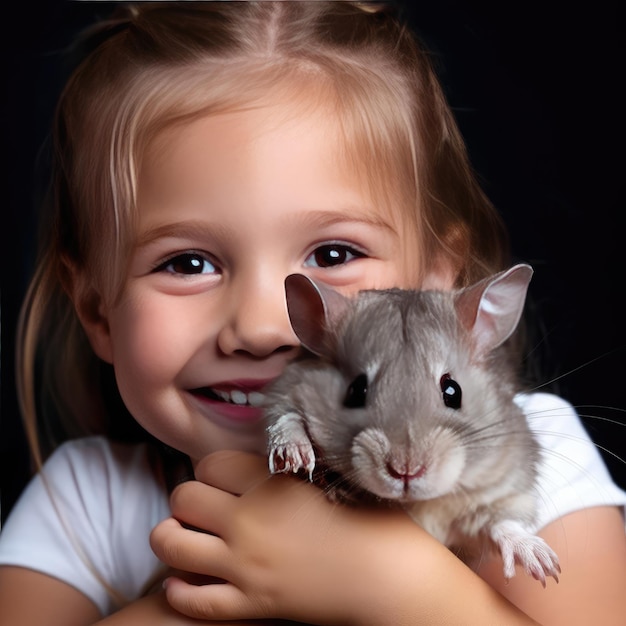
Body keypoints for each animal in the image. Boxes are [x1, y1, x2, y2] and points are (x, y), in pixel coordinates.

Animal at [264, 260, 560, 584]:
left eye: (452, 391)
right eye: (356, 390)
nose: (406, 472)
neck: (415, 503)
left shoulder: (505, 486)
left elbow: (502, 522)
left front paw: (544, 565)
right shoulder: (287, 390)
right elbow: (287, 416)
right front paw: (295, 454)